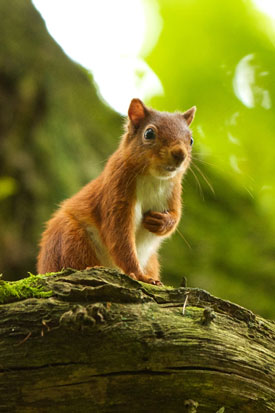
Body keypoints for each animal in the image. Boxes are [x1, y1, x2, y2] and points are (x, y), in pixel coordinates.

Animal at [37, 97, 196, 284]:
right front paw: (139, 275)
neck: (153, 178)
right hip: (70, 238)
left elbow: (176, 216)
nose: (180, 154)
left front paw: (162, 221)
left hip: (151, 261)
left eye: (191, 140)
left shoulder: (174, 191)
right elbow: (119, 235)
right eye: (149, 133)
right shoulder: (116, 189)